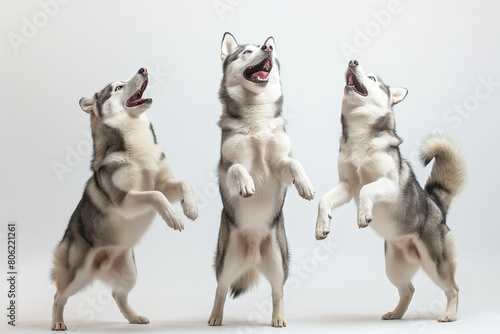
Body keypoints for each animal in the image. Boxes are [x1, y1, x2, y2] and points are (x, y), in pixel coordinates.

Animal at [50, 68, 198, 332]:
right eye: (117, 88)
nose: (143, 69)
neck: (138, 147)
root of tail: (101, 265)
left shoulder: (164, 182)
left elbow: (181, 184)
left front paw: (190, 207)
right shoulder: (124, 200)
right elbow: (155, 196)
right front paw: (173, 217)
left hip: (129, 273)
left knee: (117, 294)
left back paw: (134, 317)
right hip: (77, 275)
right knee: (59, 296)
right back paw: (57, 321)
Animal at [209, 33, 314, 326]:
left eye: (267, 49)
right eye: (246, 52)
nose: (267, 47)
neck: (256, 118)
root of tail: (253, 255)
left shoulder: (279, 166)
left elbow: (293, 163)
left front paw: (304, 184)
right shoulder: (225, 168)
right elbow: (236, 169)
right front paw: (246, 184)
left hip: (279, 263)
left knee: (277, 293)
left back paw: (278, 318)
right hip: (226, 262)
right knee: (220, 289)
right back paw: (215, 317)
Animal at [316, 60, 468, 324]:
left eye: (372, 78)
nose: (353, 61)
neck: (360, 139)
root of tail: (436, 204)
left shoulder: (389, 184)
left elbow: (367, 189)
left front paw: (363, 214)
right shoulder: (346, 186)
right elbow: (324, 200)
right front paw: (322, 225)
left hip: (435, 263)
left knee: (453, 288)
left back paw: (449, 314)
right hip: (393, 267)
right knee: (408, 290)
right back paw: (396, 314)